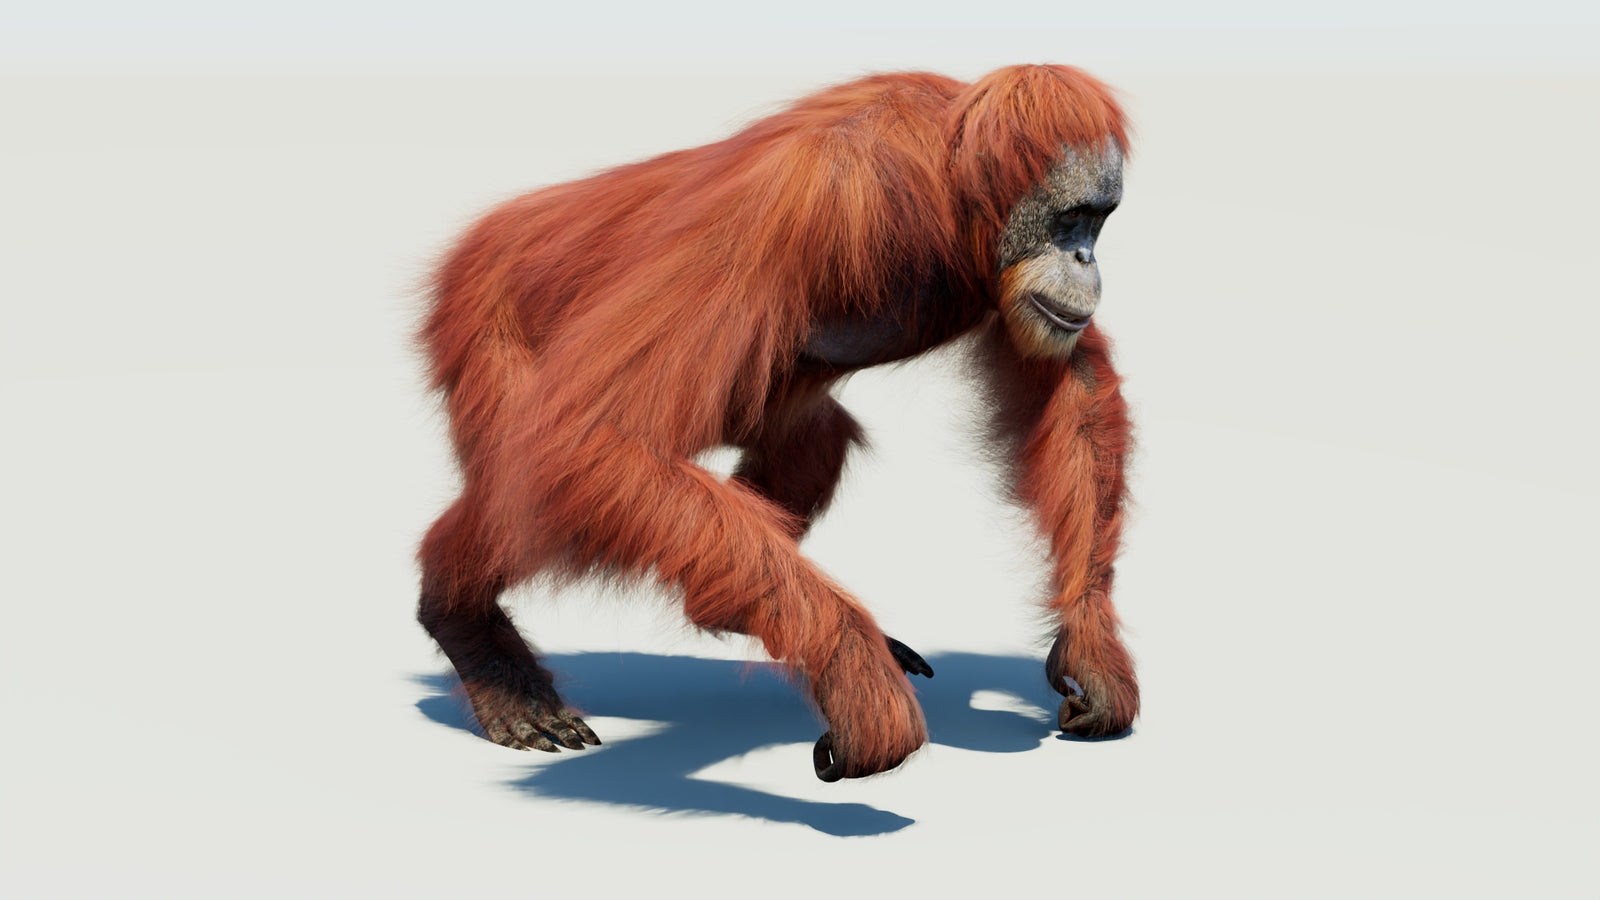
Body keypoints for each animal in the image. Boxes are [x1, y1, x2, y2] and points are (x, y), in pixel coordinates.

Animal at [417, 64, 1136, 781]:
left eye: (1099, 222)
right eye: (1070, 219)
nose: (1086, 260)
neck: (947, 191)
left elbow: (1073, 382)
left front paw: (1090, 647)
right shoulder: (803, 203)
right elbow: (593, 435)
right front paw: (855, 676)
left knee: (812, 440)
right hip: (486, 325)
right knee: (531, 484)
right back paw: (468, 629)